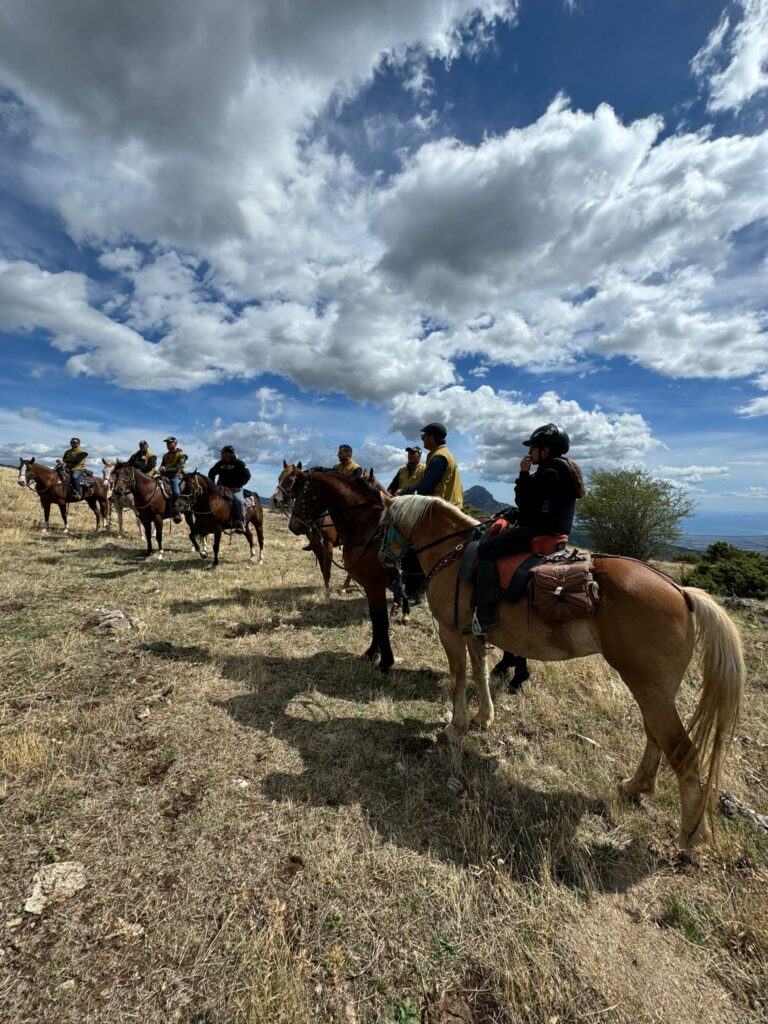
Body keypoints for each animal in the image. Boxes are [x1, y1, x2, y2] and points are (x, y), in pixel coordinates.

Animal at [286, 466, 397, 671]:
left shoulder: (376, 586)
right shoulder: (370, 588)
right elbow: (375, 620)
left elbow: (381, 622)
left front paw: (386, 661)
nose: (293, 526)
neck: (367, 528)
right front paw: (371, 652)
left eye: (302, 494)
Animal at [382, 495, 749, 847]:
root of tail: (682, 592)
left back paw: (691, 837)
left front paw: (454, 729)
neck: (455, 553)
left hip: (651, 689)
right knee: (655, 736)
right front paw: (484, 718)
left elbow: (459, 679)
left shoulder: (450, 632)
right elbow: (479, 673)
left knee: (682, 754)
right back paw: (635, 787)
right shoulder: (474, 633)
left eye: (384, 522)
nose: (385, 559)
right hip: (654, 691)